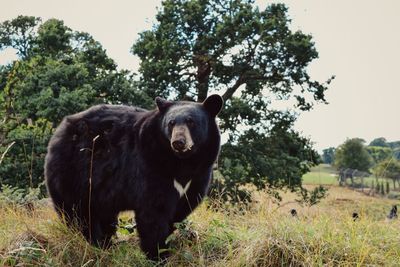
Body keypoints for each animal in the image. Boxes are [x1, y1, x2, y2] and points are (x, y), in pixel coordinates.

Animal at [46, 94, 225, 260]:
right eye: (171, 123)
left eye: (191, 122)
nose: (178, 142)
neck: (182, 162)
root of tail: (59, 130)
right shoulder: (149, 164)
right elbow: (154, 212)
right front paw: (158, 254)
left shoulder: (199, 173)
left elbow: (180, 210)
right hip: (74, 173)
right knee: (79, 213)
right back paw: (93, 243)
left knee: (103, 216)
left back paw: (106, 243)